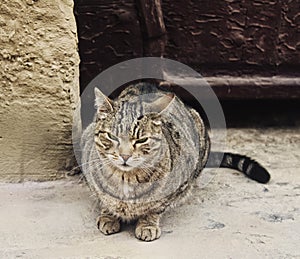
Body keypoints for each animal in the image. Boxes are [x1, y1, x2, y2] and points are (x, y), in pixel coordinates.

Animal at [80, 83, 270, 242]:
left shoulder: (179, 184)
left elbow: (155, 208)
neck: (126, 179)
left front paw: (147, 224)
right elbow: (103, 199)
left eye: (141, 140)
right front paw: (108, 216)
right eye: (112, 136)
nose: (124, 156)